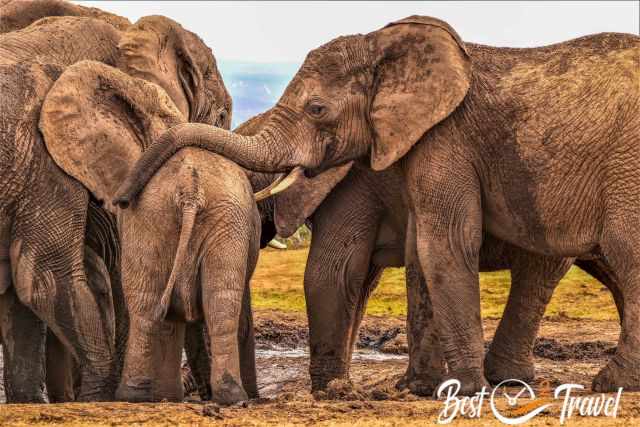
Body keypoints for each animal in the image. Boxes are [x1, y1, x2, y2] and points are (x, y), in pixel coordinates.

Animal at [0, 5, 230, 402]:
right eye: (219, 118)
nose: (207, 396)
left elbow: (20, 295)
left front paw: (31, 401)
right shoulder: (45, 163)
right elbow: (44, 280)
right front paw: (101, 395)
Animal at [116, 16, 640, 398]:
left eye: (317, 109)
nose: (122, 197)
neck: (385, 48)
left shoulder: (438, 143)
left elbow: (410, 252)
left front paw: (461, 390)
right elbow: (412, 258)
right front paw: (415, 388)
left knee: (619, 253)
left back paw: (601, 383)